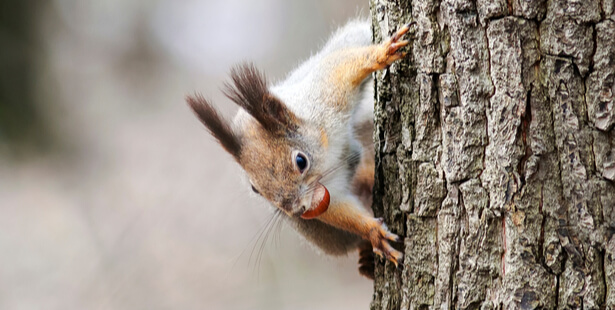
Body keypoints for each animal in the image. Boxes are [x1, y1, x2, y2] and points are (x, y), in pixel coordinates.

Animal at [185, 20, 412, 280]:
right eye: (255, 189)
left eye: (300, 161)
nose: (298, 210)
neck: (326, 151)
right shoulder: (324, 193)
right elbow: (335, 207)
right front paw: (373, 231)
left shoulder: (325, 96)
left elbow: (341, 68)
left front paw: (381, 54)